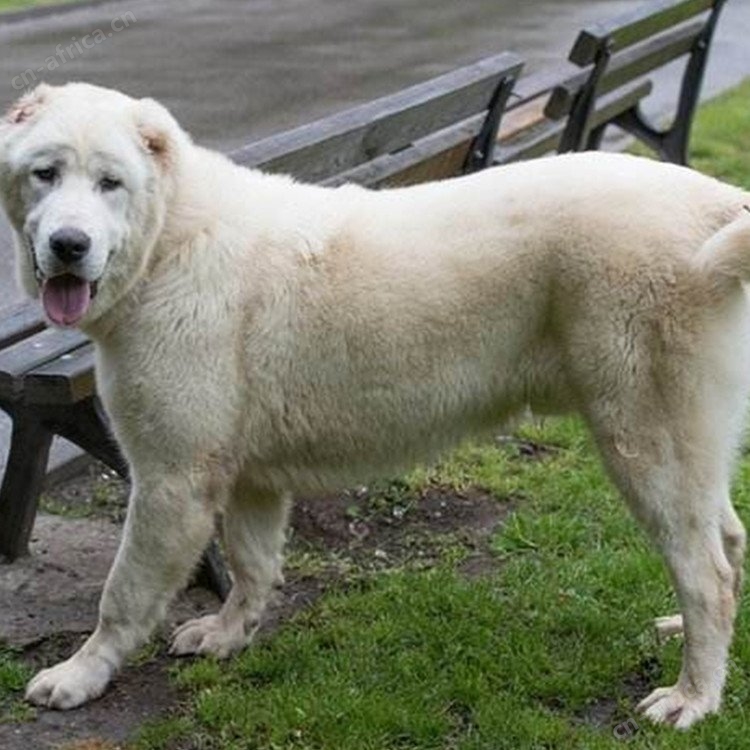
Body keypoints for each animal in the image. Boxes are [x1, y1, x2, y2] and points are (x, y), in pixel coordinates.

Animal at [1, 82, 750, 729]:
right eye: (45, 174)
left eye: (110, 183)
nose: (69, 245)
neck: (168, 241)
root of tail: (714, 200)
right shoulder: (246, 477)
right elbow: (252, 565)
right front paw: (230, 634)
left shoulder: (171, 480)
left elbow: (123, 593)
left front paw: (80, 675)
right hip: (683, 442)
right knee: (728, 543)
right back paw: (688, 638)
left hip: (646, 441)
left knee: (707, 573)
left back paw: (692, 697)